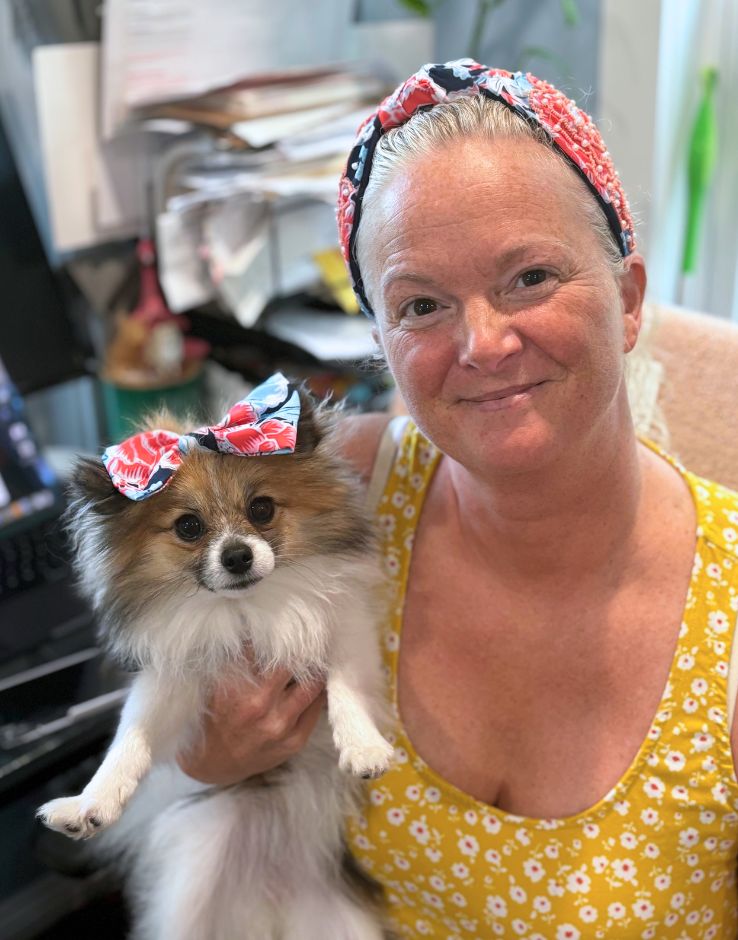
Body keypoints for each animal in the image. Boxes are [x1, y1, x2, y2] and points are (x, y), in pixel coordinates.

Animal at [36, 374, 392, 940]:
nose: (237, 556)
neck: (244, 611)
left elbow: (347, 687)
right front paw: (92, 802)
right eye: (188, 527)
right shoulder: (173, 683)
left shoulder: (347, 627)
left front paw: (363, 747)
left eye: (262, 509)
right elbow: (130, 742)